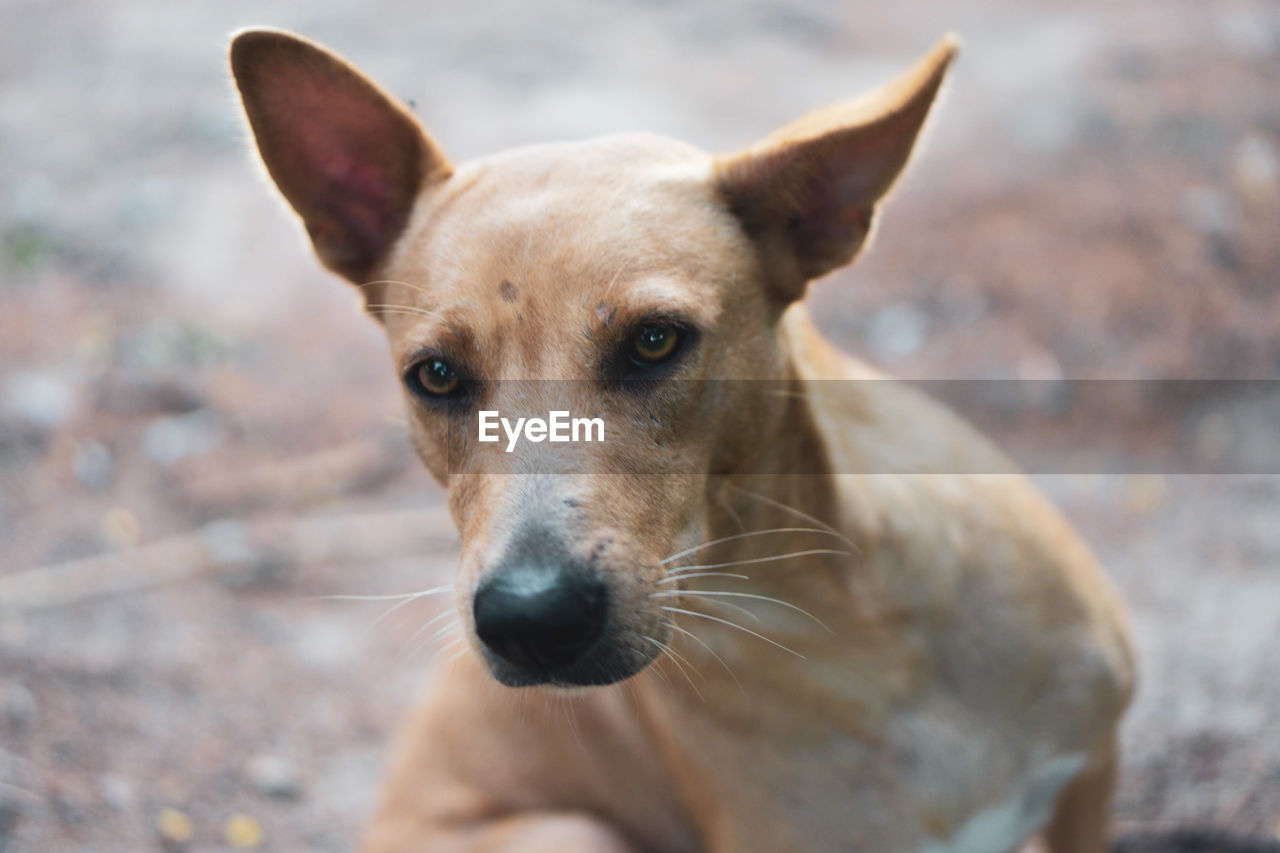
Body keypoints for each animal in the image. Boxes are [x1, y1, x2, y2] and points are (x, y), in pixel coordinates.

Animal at [232, 28, 1141, 850]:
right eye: (437, 375)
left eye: (654, 341)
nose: (531, 618)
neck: (843, 619)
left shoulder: (1090, 772)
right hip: (571, 832)